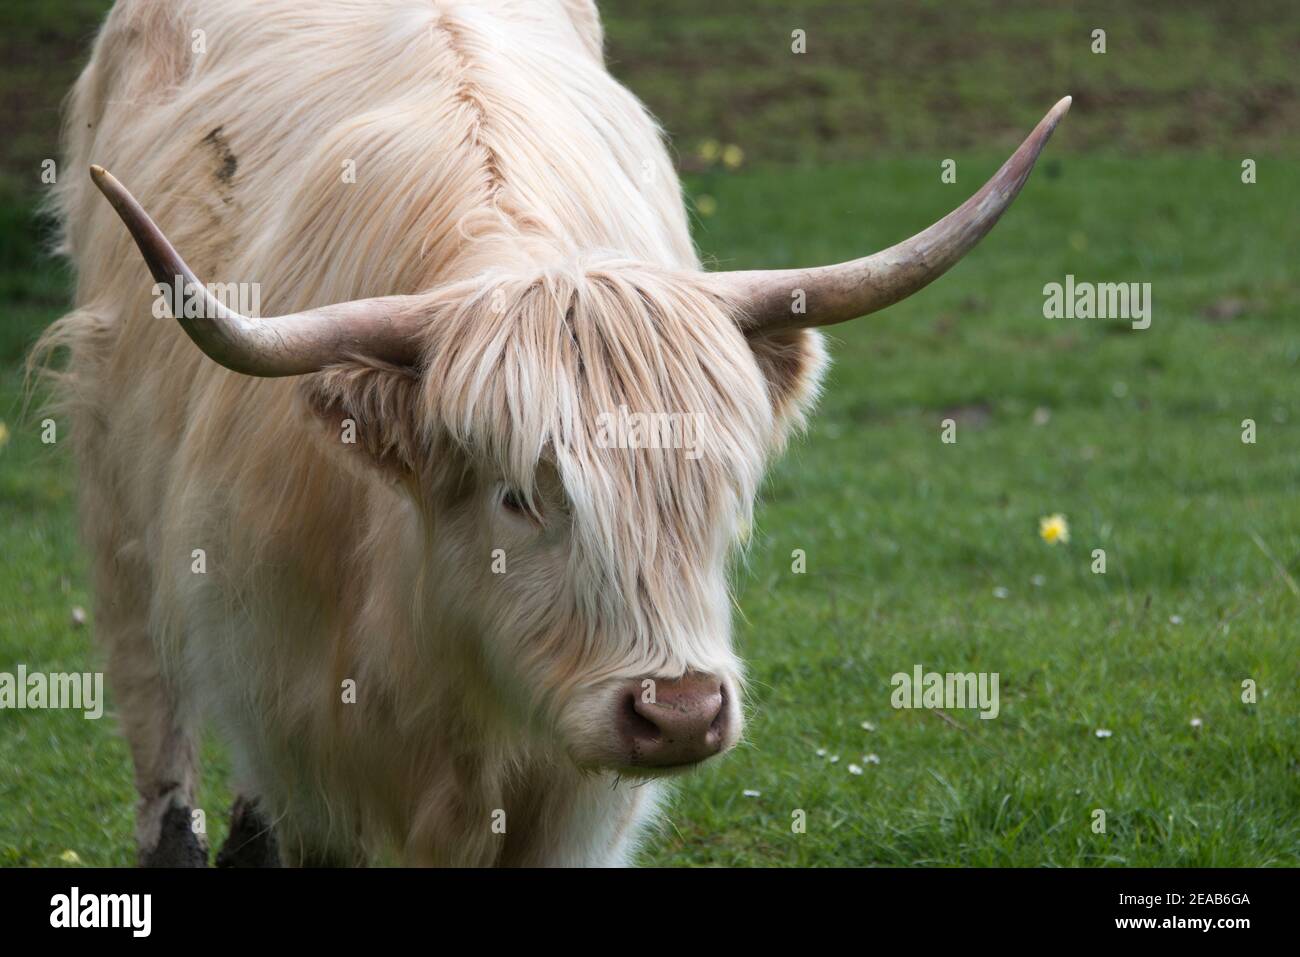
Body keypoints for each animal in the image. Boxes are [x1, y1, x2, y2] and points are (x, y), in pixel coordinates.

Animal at [35, 0, 1067, 866]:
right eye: (516, 496)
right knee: (156, 716)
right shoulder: (307, 748)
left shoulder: (574, 810)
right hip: (118, 512)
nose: (680, 712)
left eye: (719, 491)